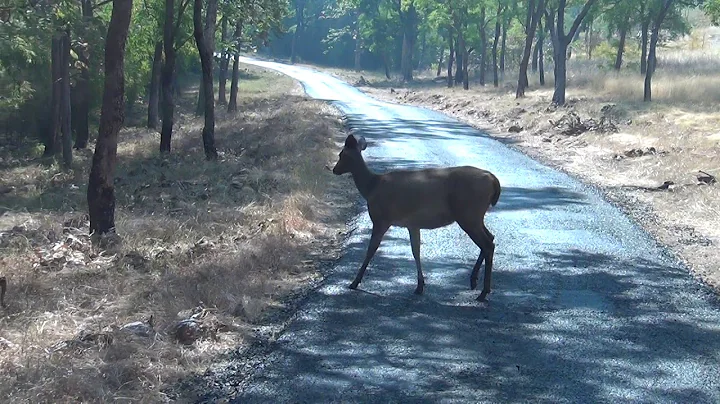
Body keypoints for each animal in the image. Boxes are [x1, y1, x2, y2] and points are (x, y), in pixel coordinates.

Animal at [332, 134, 500, 302]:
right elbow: (416, 250)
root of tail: (493, 180)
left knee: (487, 244)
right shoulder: (412, 224)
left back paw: (483, 291)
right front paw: (420, 285)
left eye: (342, 154)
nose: (334, 169)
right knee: (491, 237)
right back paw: (474, 281)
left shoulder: (381, 219)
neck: (371, 187)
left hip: (468, 214)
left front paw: (354, 282)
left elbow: (371, 250)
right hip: (474, 216)